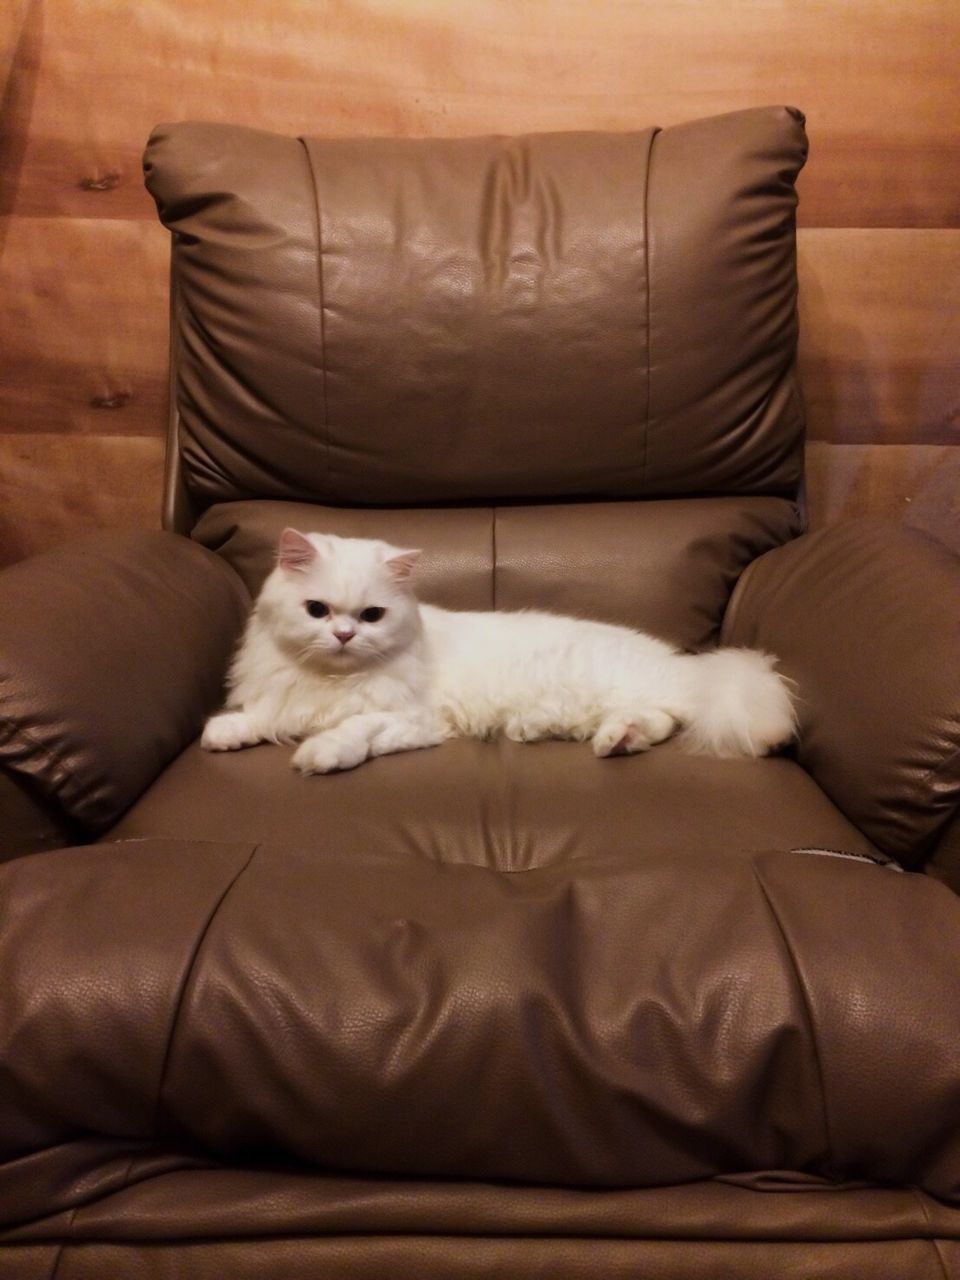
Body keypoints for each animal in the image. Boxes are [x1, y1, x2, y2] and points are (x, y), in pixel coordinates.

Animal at [203, 527, 798, 773]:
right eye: (317, 611)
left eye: (371, 616)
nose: (345, 636)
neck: (333, 679)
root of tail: (687, 665)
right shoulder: (288, 698)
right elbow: (261, 715)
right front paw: (224, 733)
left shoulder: (413, 718)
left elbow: (355, 731)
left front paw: (320, 755)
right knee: (654, 722)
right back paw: (607, 741)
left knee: (665, 716)